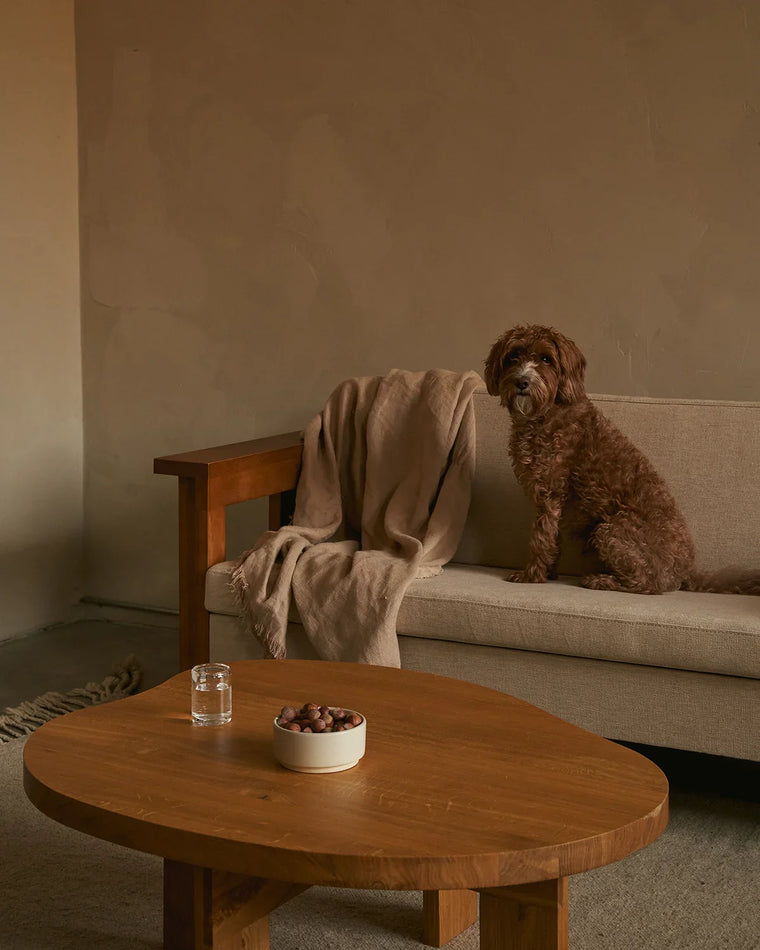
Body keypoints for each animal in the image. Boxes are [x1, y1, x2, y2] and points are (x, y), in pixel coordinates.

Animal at [484, 323, 760, 595]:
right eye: (514, 356)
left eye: (545, 359)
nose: (522, 381)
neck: (547, 412)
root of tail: (686, 571)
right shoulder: (552, 500)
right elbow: (553, 538)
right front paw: (548, 573)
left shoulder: (549, 494)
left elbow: (541, 538)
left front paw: (531, 576)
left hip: (611, 529)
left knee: (651, 584)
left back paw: (600, 581)